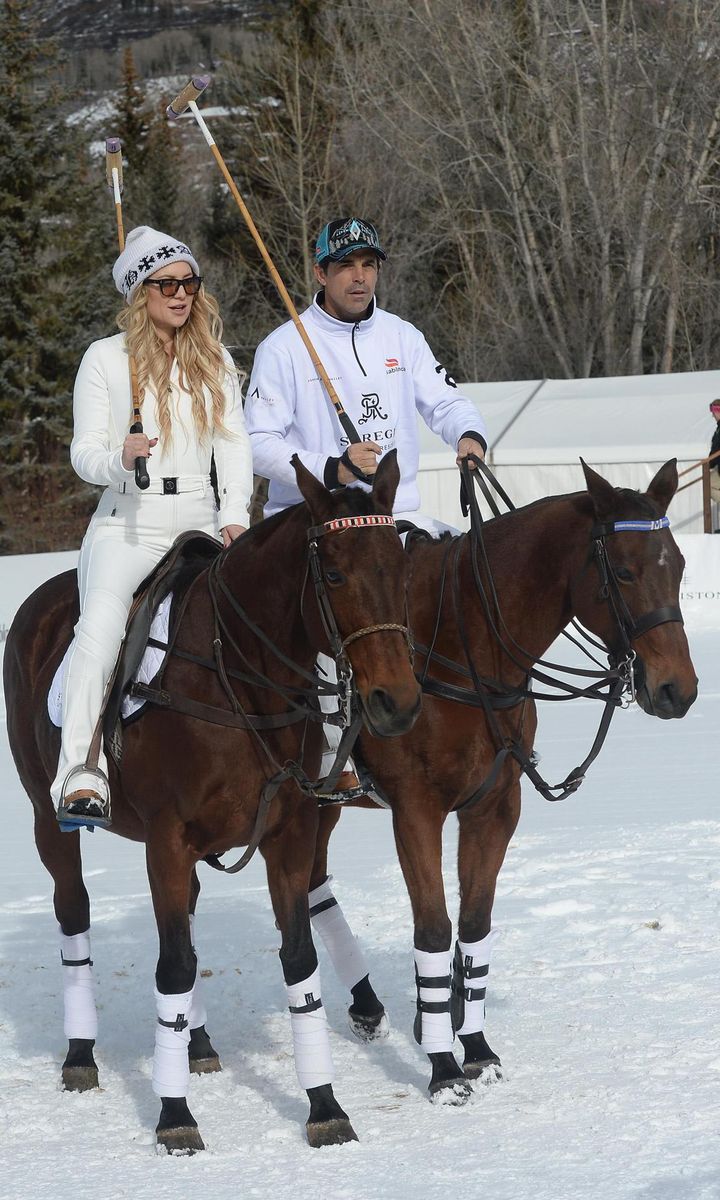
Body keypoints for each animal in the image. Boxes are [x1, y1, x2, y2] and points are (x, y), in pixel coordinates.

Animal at [2, 451, 422, 1152]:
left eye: (400, 564)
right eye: (335, 573)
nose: (399, 703)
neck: (242, 681)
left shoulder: (288, 834)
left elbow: (297, 961)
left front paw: (324, 1105)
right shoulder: (167, 840)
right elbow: (172, 967)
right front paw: (175, 1117)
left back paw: (197, 1042)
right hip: (45, 815)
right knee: (73, 910)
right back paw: (81, 1054)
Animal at [307, 460, 696, 1104]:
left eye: (681, 565)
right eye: (622, 570)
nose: (678, 690)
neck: (464, 650)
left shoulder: (495, 804)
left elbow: (474, 924)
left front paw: (474, 1045)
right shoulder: (415, 809)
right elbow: (434, 928)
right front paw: (442, 1066)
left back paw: (368, 1007)